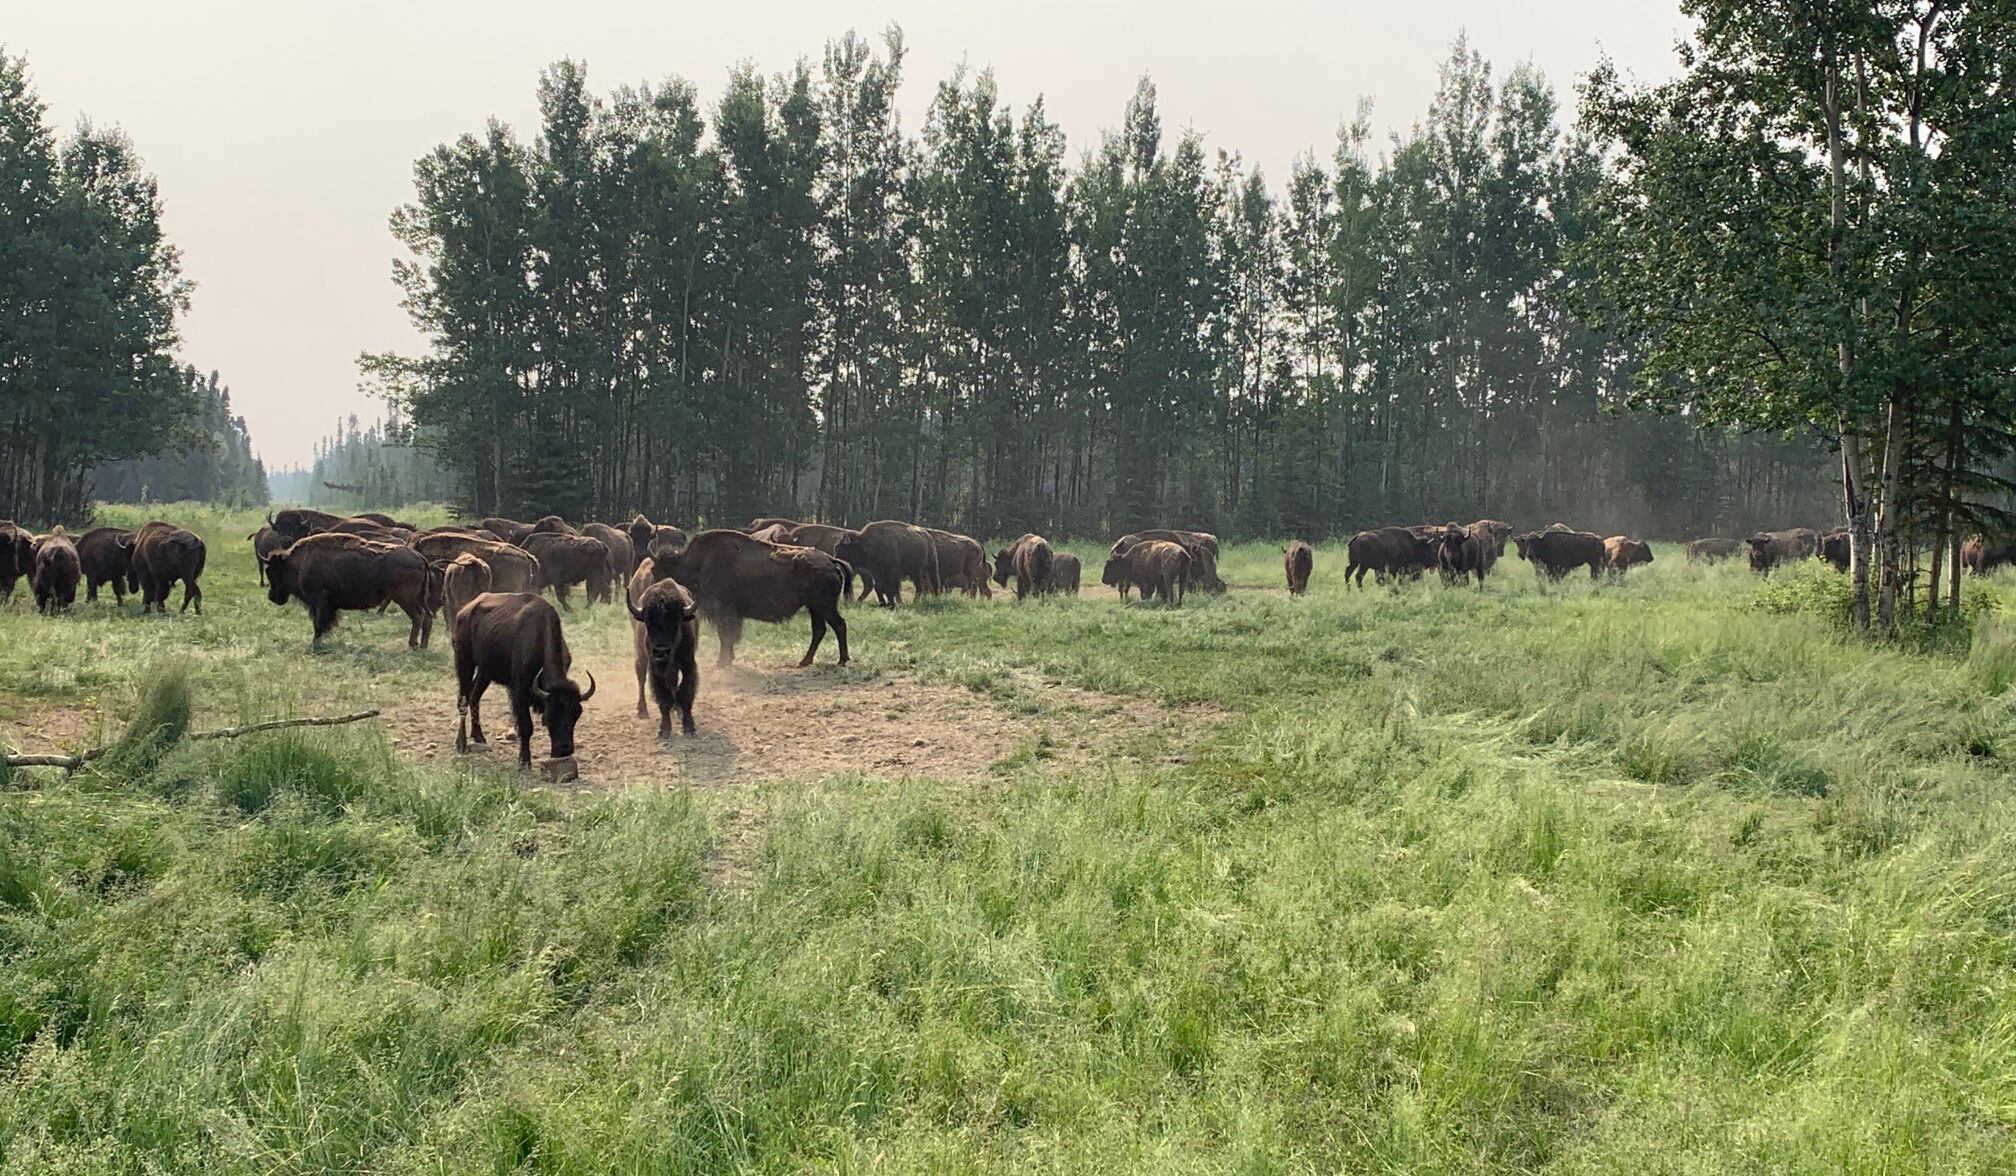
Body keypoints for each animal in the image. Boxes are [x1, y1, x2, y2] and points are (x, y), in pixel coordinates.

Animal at [264, 532, 436, 648]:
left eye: (272, 571)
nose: (271, 597)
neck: (299, 562)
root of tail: (420, 558)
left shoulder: (320, 602)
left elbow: (318, 624)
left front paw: (315, 643)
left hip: (406, 599)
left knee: (418, 616)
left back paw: (413, 644)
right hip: (417, 598)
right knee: (427, 617)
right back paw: (422, 646)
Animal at [453, 592, 595, 769]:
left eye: (577, 713)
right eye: (551, 714)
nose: (564, 749)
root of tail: (464, 611)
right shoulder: (519, 691)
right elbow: (526, 726)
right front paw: (524, 761)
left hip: (485, 672)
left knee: (474, 697)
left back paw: (479, 736)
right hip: (465, 664)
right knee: (463, 701)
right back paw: (461, 744)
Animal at [627, 560, 700, 737]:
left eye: (676, 621)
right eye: (648, 622)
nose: (661, 651)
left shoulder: (688, 665)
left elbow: (686, 692)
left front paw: (689, 726)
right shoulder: (655, 668)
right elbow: (663, 697)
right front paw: (664, 729)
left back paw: (676, 710)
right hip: (641, 655)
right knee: (641, 677)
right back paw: (642, 711)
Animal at [652, 529, 849, 667]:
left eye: (656, 569)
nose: (653, 589)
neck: (698, 562)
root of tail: (830, 560)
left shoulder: (724, 611)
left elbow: (726, 635)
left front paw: (722, 662)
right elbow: (727, 636)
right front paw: (727, 659)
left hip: (824, 606)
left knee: (839, 625)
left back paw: (842, 660)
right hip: (815, 608)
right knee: (819, 630)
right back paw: (804, 661)